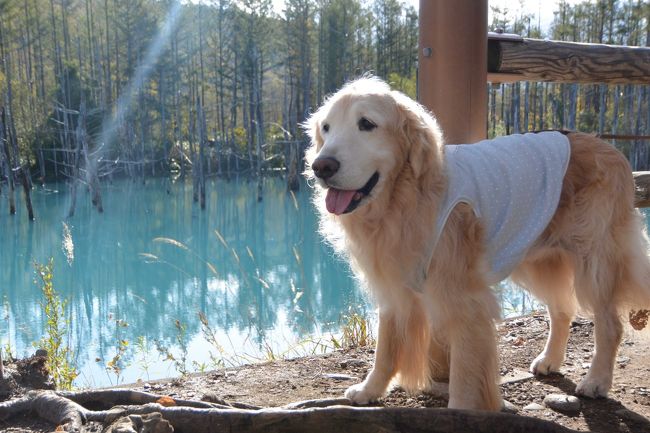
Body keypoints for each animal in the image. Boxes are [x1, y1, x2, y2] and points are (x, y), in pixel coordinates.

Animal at [304, 76, 648, 410]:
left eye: (366, 124)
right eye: (326, 128)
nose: (321, 166)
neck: (407, 195)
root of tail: (610, 148)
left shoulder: (463, 299)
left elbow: (465, 370)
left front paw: (461, 411)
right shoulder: (394, 287)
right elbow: (386, 348)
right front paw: (370, 389)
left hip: (594, 259)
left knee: (609, 324)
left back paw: (596, 381)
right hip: (537, 258)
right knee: (563, 309)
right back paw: (550, 360)